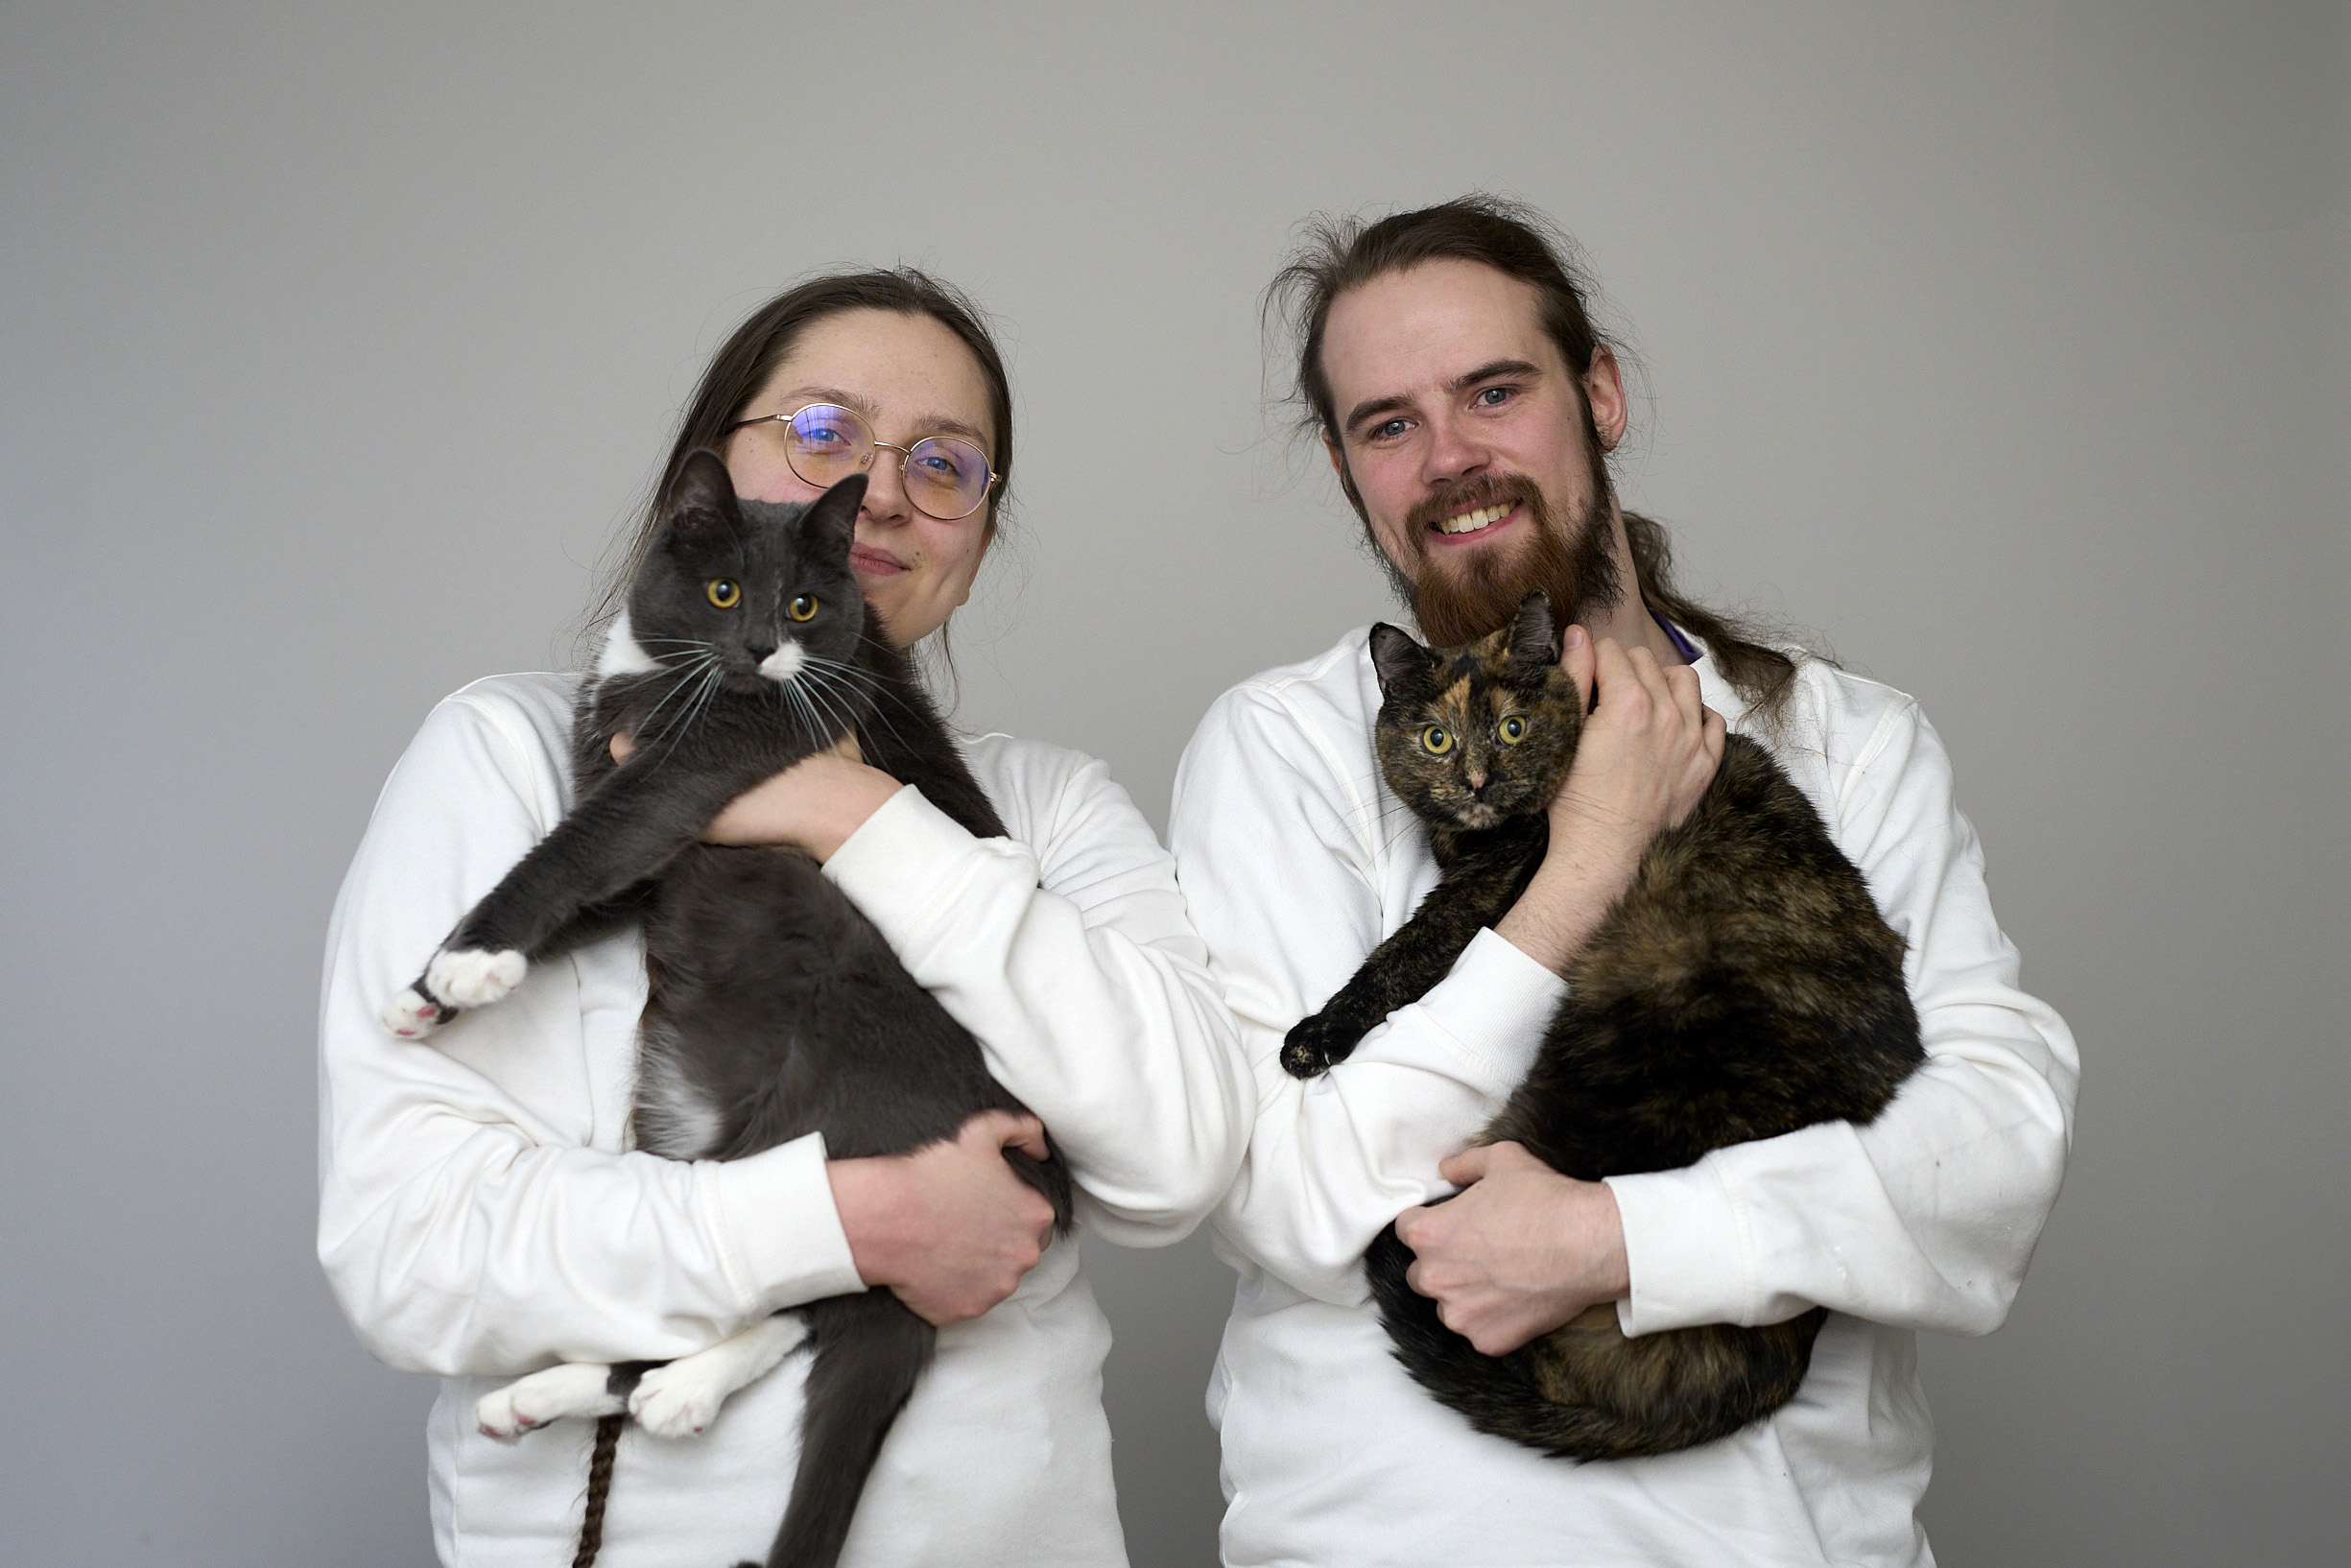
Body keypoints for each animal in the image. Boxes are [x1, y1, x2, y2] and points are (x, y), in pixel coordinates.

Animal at [1288, 592, 1928, 1457]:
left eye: (1513, 727)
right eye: (1436, 738)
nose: (1479, 781)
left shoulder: (1498, 875)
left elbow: (1405, 953)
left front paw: (1318, 1033)